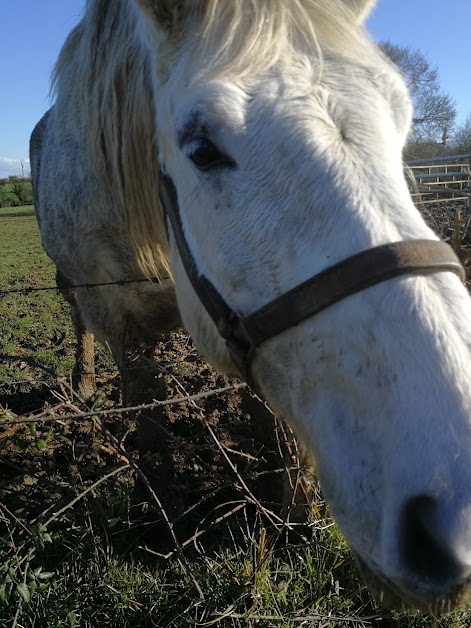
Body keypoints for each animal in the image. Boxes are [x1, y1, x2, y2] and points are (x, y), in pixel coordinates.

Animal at [30, 0, 471, 612]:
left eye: (400, 119)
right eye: (201, 150)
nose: (454, 503)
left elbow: (274, 424)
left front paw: (292, 517)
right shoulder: (122, 327)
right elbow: (152, 433)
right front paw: (171, 530)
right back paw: (84, 385)